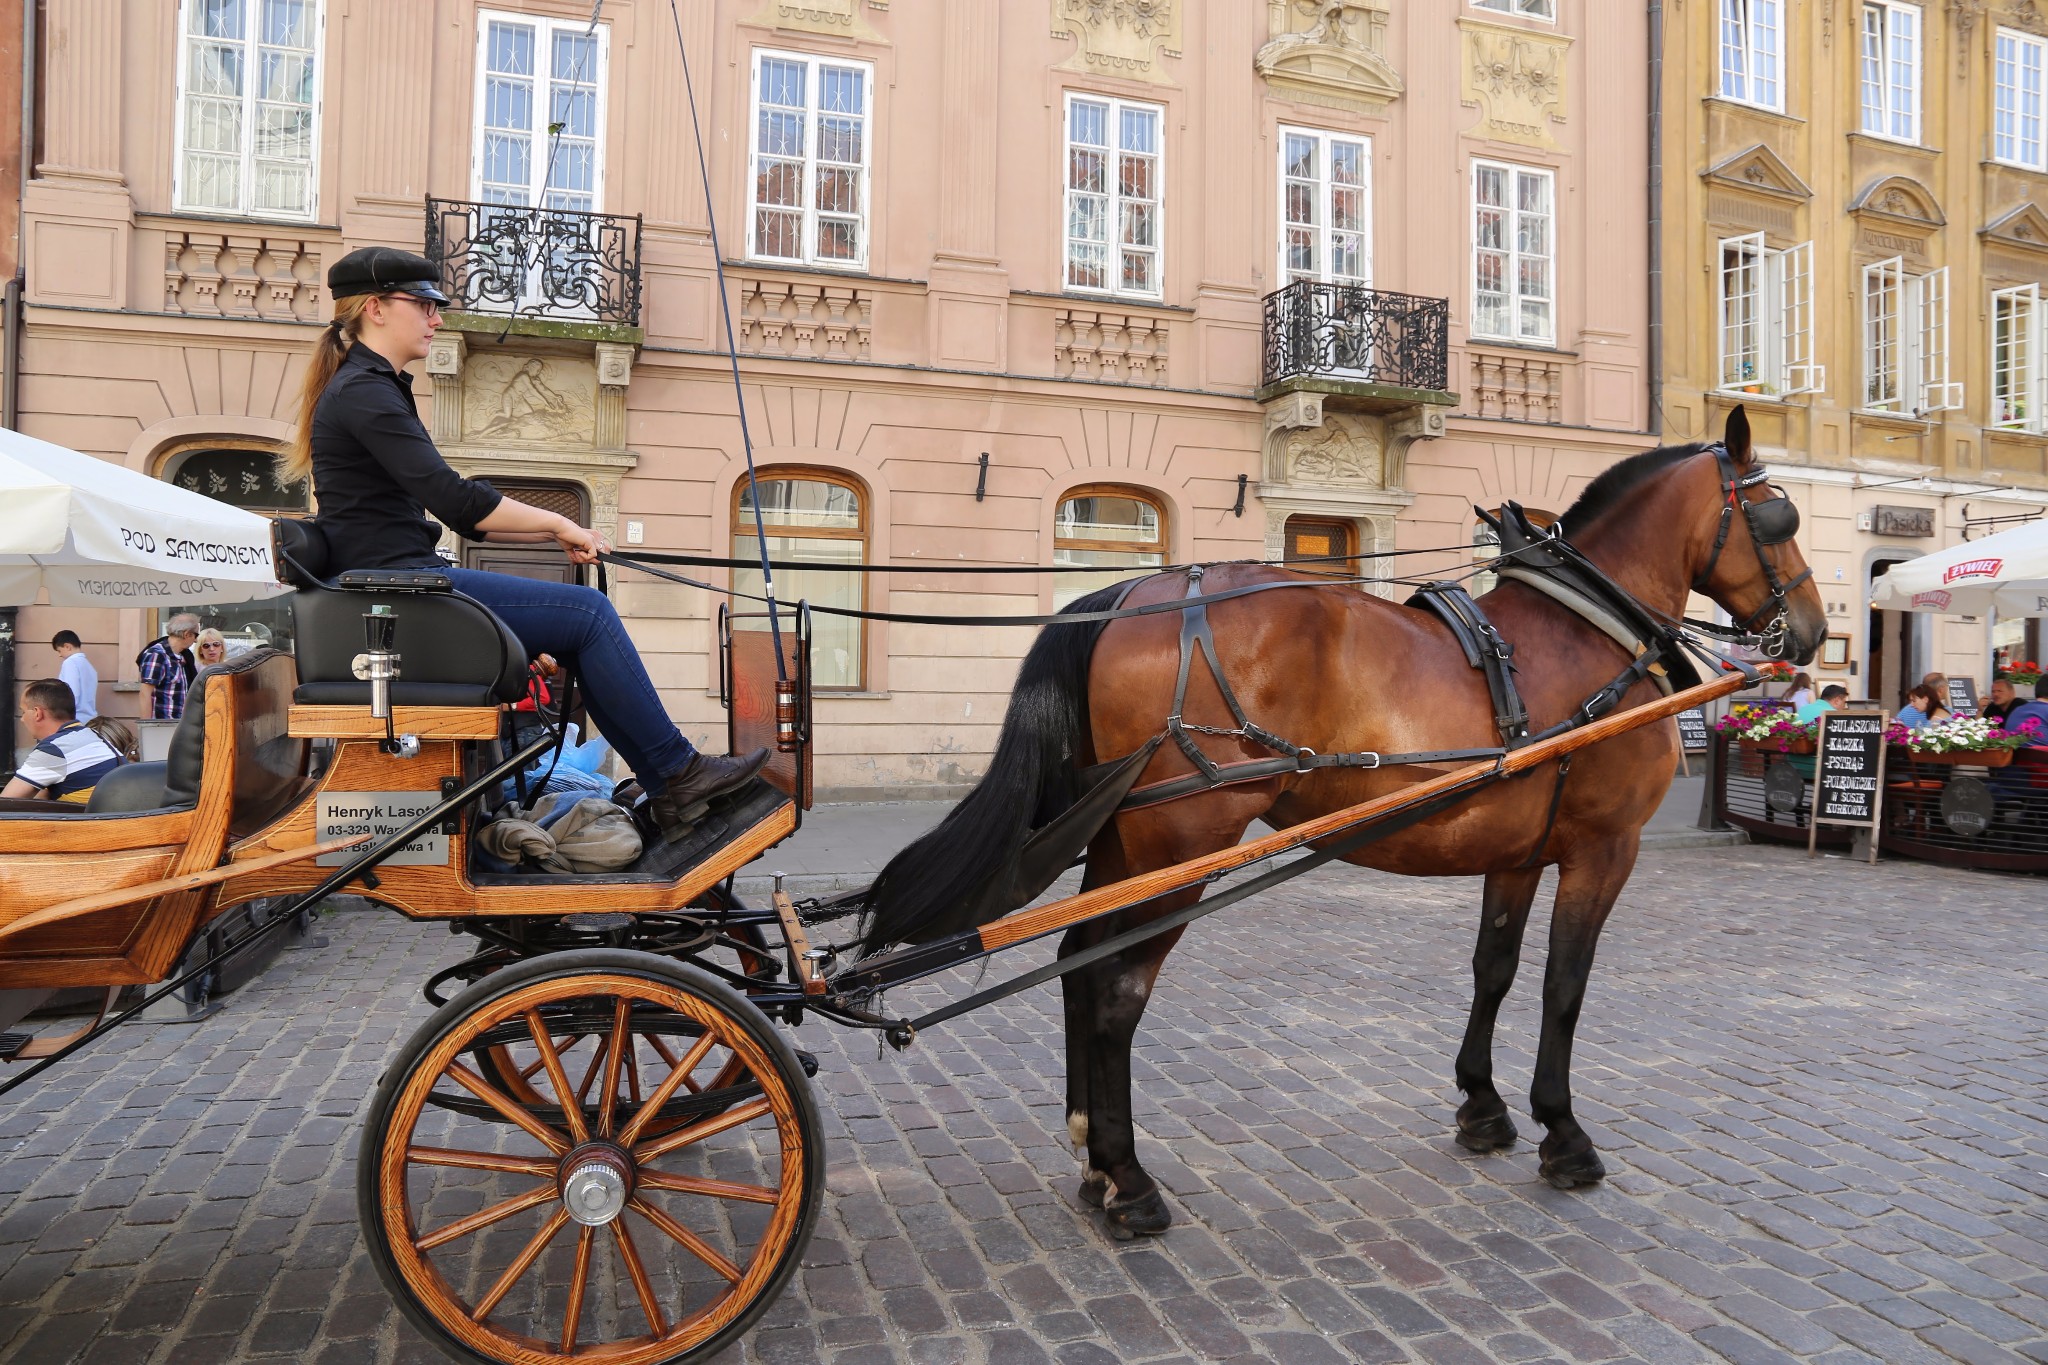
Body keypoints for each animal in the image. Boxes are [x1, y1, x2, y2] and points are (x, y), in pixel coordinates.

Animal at [860, 405, 1826, 1236]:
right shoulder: (1603, 847)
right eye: (1777, 514)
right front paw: (1563, 1131)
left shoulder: (1517, 850)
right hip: (1187, 838)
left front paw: (1482, 1103)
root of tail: (1133, 590)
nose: (1814, 630)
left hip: (1129, 840)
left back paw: (1094, 1158)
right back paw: (1128, 1181)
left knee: (1077, 961)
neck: (1587, 629)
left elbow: (1495, 969)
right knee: (1117, 987)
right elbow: (1566, 985)